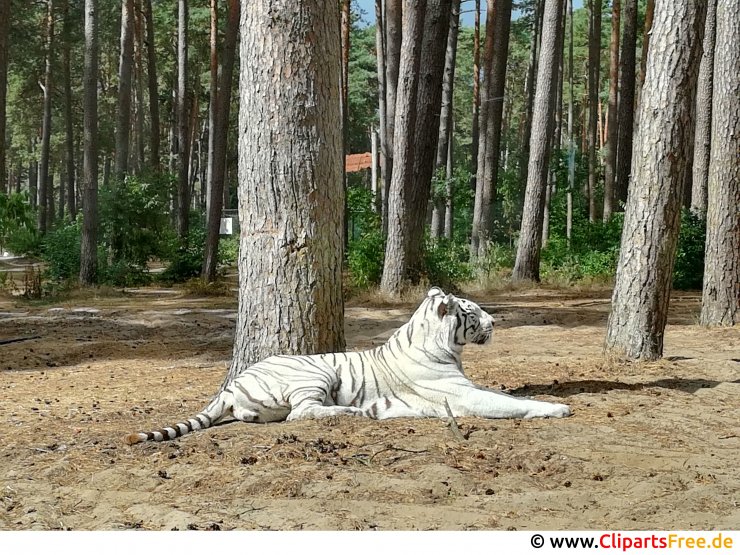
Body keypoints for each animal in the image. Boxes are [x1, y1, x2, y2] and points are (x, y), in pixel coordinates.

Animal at [124, 287, 570, 444]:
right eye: (472, 311)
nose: (495, 322)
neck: (441, 345)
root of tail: (231, 384)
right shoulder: (462, 397)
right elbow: (509, 404)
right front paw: (558, 408)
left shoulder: (469, 387)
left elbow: (501, 393)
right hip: (315, 372)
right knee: (301, 414)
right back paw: (354, 412)